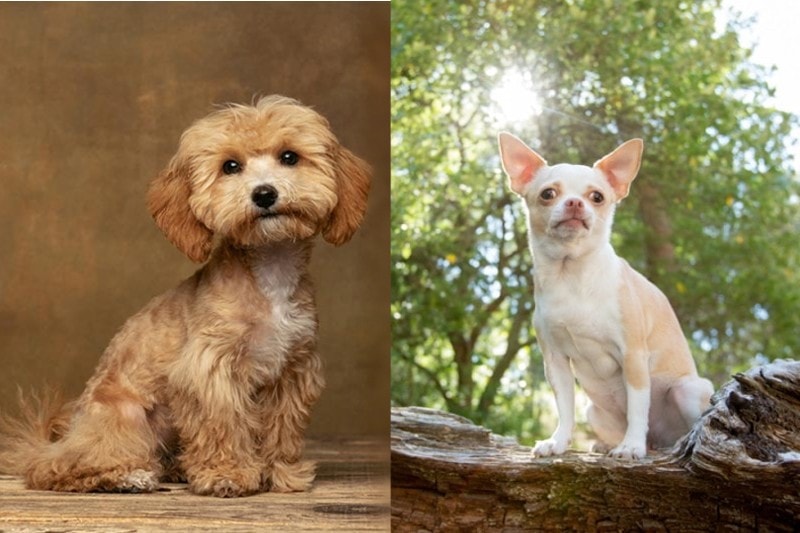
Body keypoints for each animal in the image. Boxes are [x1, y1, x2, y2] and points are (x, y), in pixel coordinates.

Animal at [0, 94, 370, 494]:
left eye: (289, 157)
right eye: (230, 166)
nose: (264, 193)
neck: (269, 270)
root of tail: (63, 437)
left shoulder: (292, 370)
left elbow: (281, 428)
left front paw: (282, 473)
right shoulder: (209, 372)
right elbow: (222, 425)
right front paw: (227, 474)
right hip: (125, 418)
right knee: (61, 468)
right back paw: (129, 476)